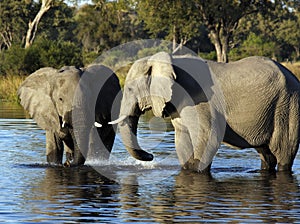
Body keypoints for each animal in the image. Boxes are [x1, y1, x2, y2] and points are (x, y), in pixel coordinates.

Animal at [109, 51, 300, 172]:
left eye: (130, 89)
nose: (150, 155)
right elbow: (182, 139)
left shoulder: (200, 99)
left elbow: (209, 136)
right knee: (266, 155)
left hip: (288, 106)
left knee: (283, 154)